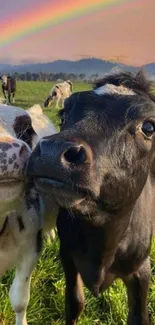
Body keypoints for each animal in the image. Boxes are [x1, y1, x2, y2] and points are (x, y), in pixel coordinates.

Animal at [26, 71, 155, 324]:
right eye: (64, 114)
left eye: (149, 127)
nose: (53, 151)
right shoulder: (67, 254)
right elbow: (75, 302)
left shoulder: (141, 271)